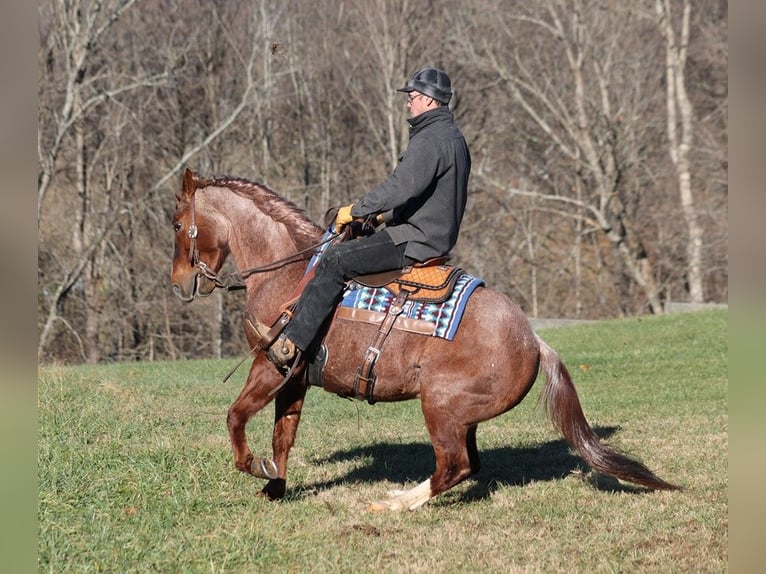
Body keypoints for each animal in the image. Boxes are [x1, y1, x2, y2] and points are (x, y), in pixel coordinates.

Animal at [172, 169, 680, 510]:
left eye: (176, 224)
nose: (180, 284)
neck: (288, 273)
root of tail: (534, 340)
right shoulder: (292, 377)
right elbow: (283, 436)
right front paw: (276, 485)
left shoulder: (269, 363)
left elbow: (236, 417)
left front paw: (254, 467)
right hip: (462, 416)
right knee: (467, 465)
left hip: (440, 406)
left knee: (453, 466)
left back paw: (394, 503)